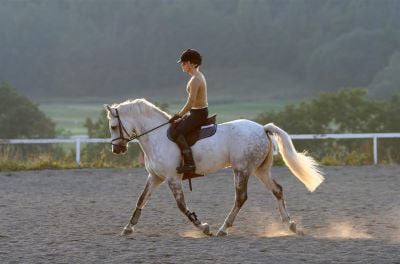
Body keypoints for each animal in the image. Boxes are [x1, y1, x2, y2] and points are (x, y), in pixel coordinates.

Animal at [104, 99, 324, 237]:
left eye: (114, 127)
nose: (117, 149)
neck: (156, 136)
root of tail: (262, 128)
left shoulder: (172, 178)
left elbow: (181, 206)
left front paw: (203, 227)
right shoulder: (155, 177)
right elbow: (141, 199)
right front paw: (128, 228)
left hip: (242, 169)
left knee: (241, 197)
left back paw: (223, 229)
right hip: (260, 170)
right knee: (277, 190)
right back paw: (291, 225)